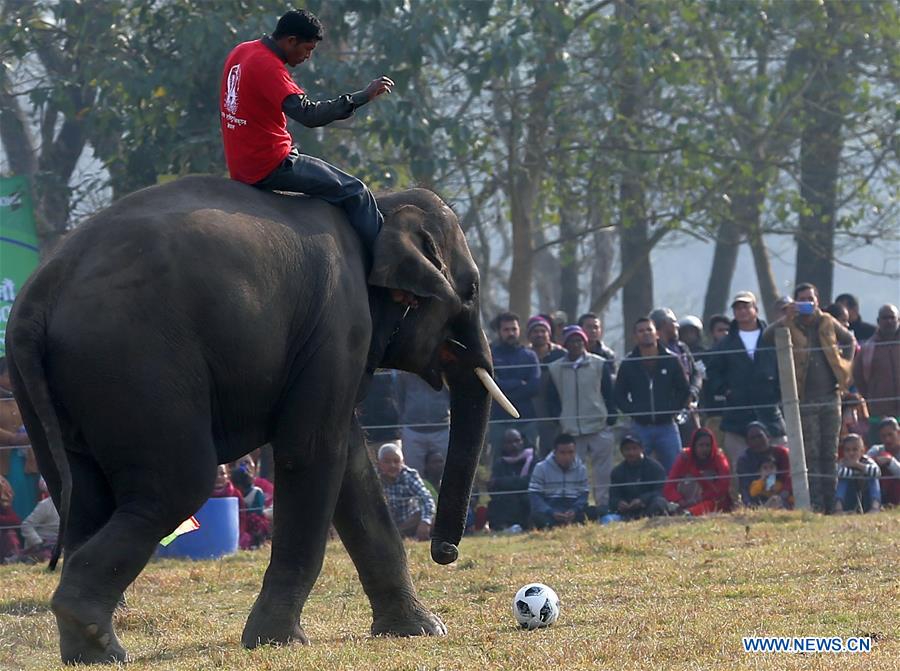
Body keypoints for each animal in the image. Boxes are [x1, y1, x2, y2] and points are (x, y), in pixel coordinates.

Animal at [4, 176, 518, 664]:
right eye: (471, 290)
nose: (445, 553)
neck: (381, 205)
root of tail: (37, 298)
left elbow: (350, 463)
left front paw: (420, 630)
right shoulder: (338, 322)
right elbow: (311, 450)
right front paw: (279, 640)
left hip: (58, 390)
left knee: (84, 495)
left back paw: (92, 649)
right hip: (137, 365)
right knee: (175, 487)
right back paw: (94, 633)